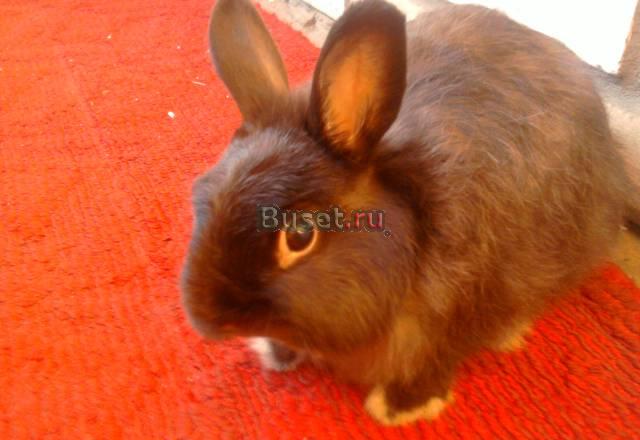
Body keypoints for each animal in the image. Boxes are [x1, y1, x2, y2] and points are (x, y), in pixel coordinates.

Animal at [181, 0, 630, 425]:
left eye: (299, 236)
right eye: (202, 194)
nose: (207, 321)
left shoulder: (458, 316)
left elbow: (435, 361)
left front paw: (399, 407)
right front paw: (276, 352)